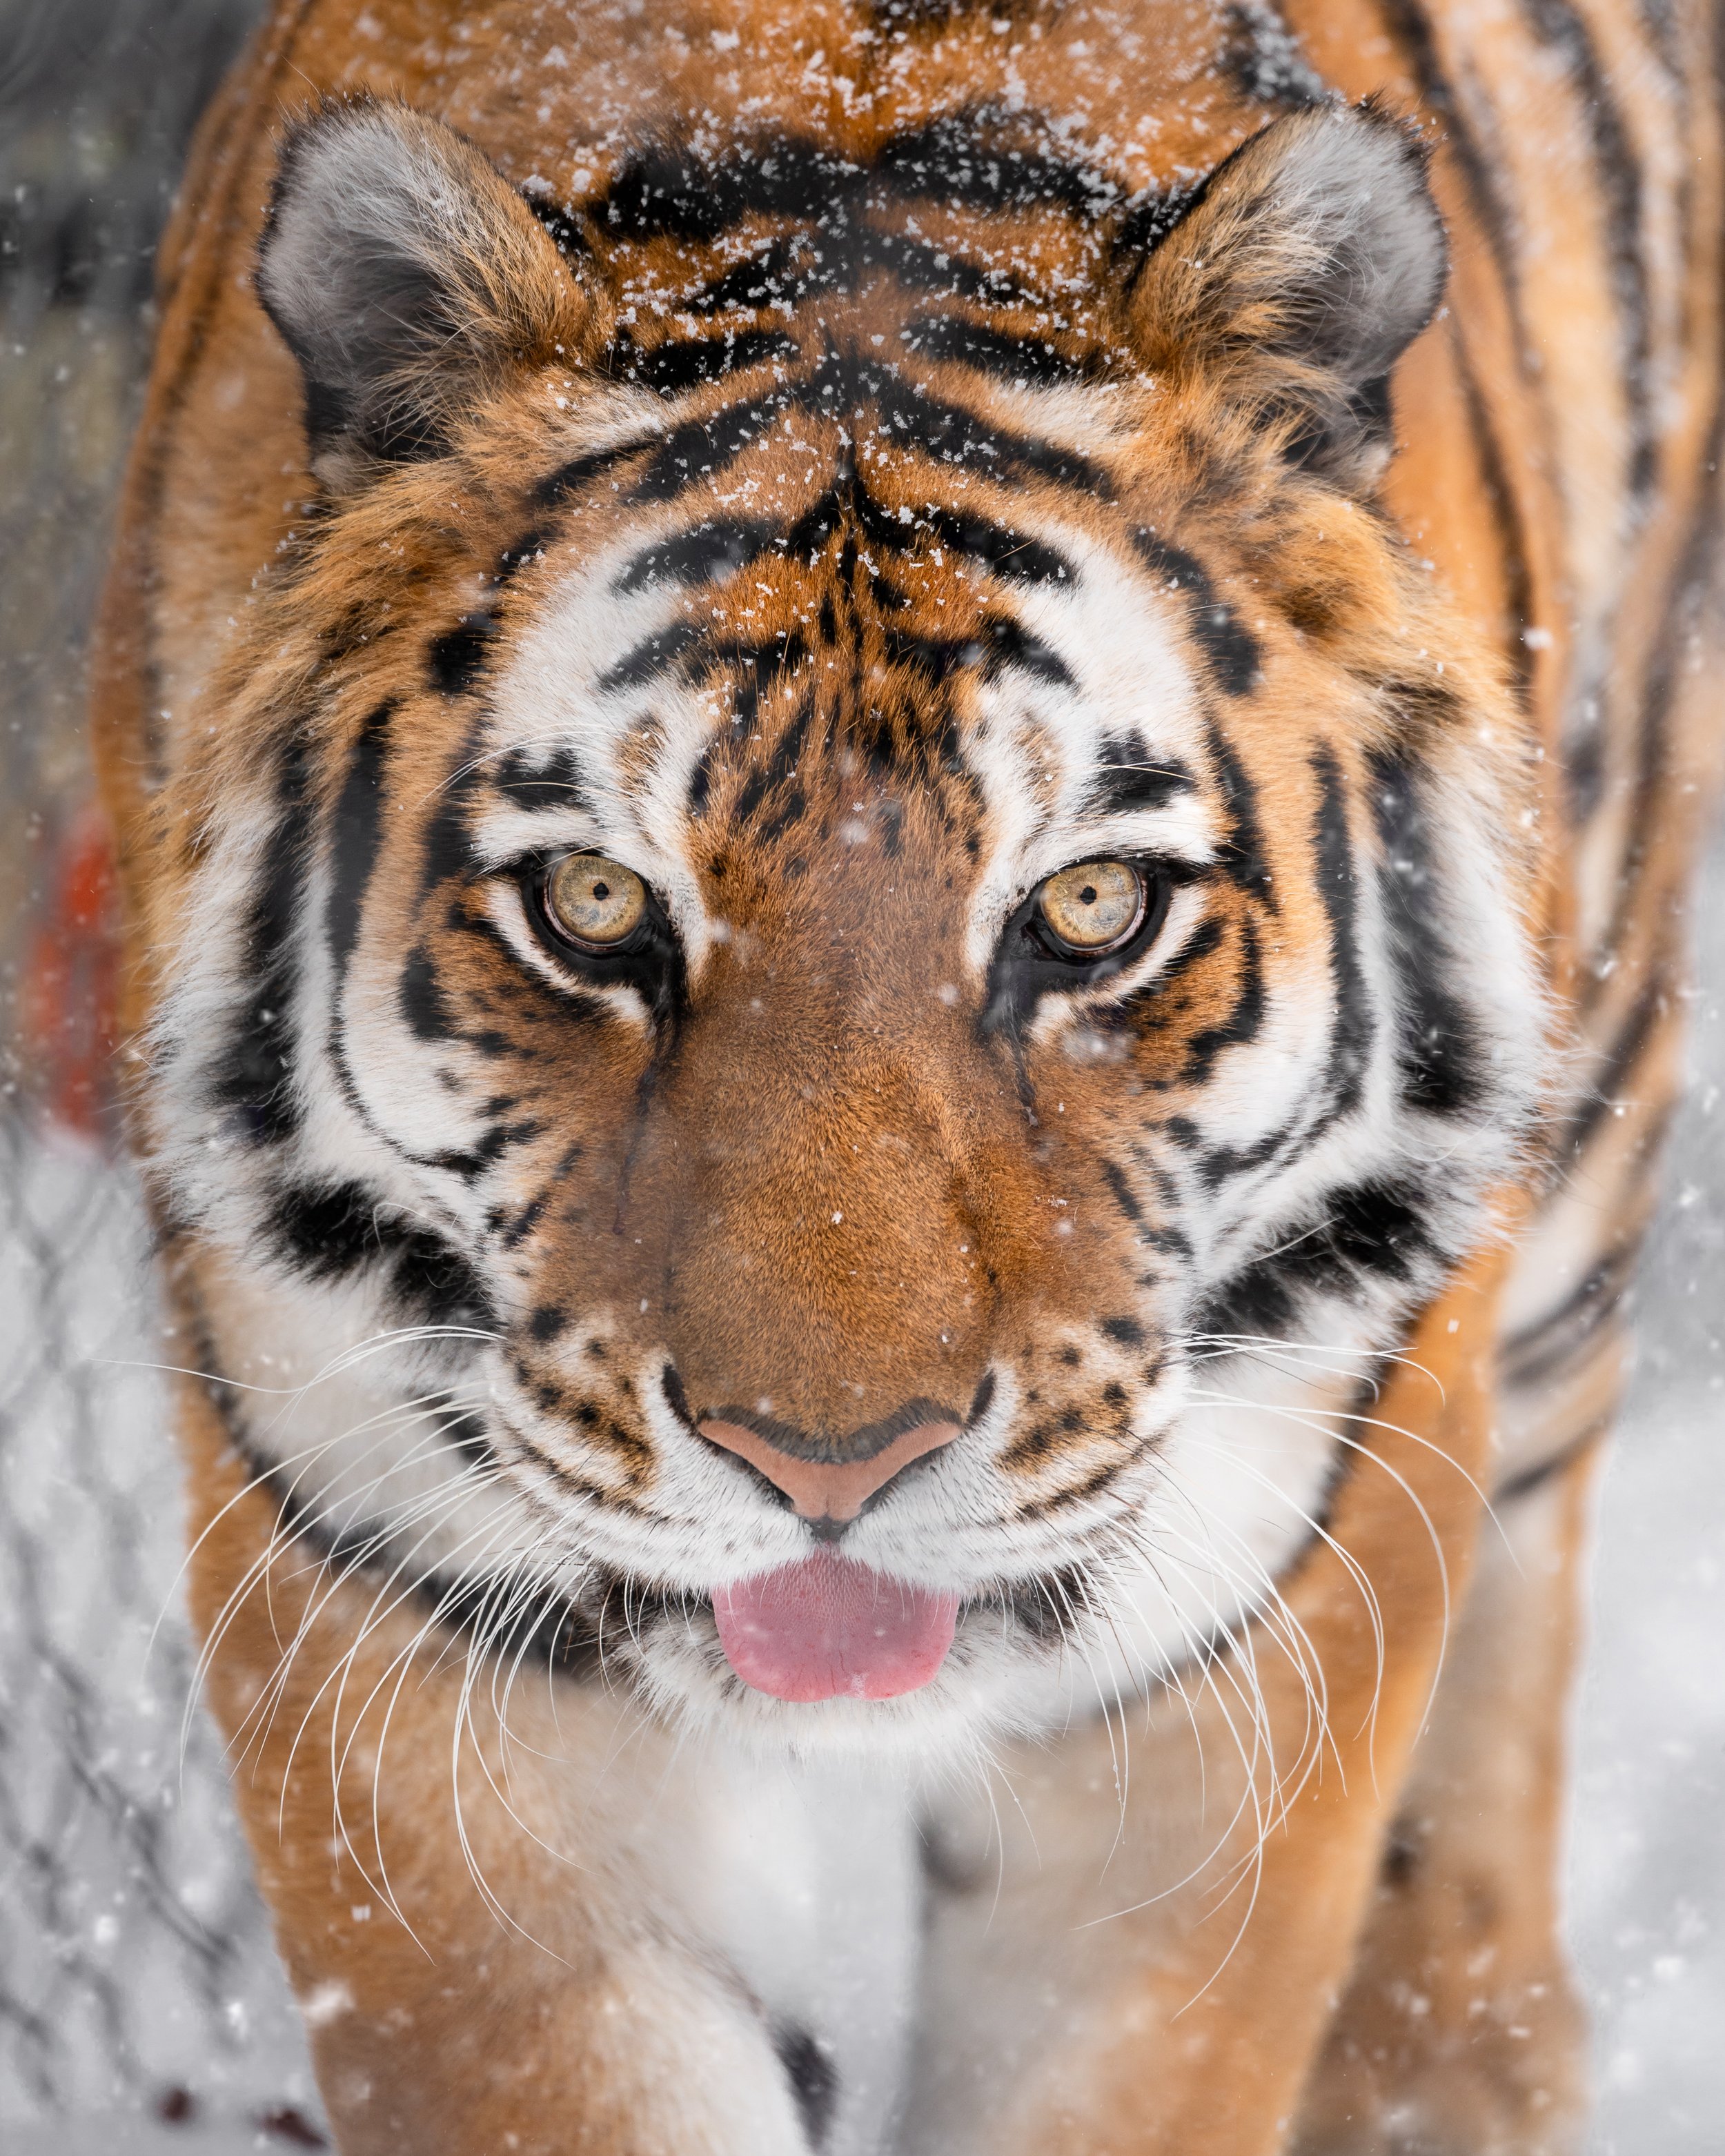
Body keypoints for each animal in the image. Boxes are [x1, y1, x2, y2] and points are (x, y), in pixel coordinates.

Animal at [88, 0, 1724, 2149]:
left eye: (1092, 907)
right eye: (597, 905)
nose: (829, 1469)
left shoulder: (1235, 1661)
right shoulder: (392, 1613)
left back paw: (1446, 2058)